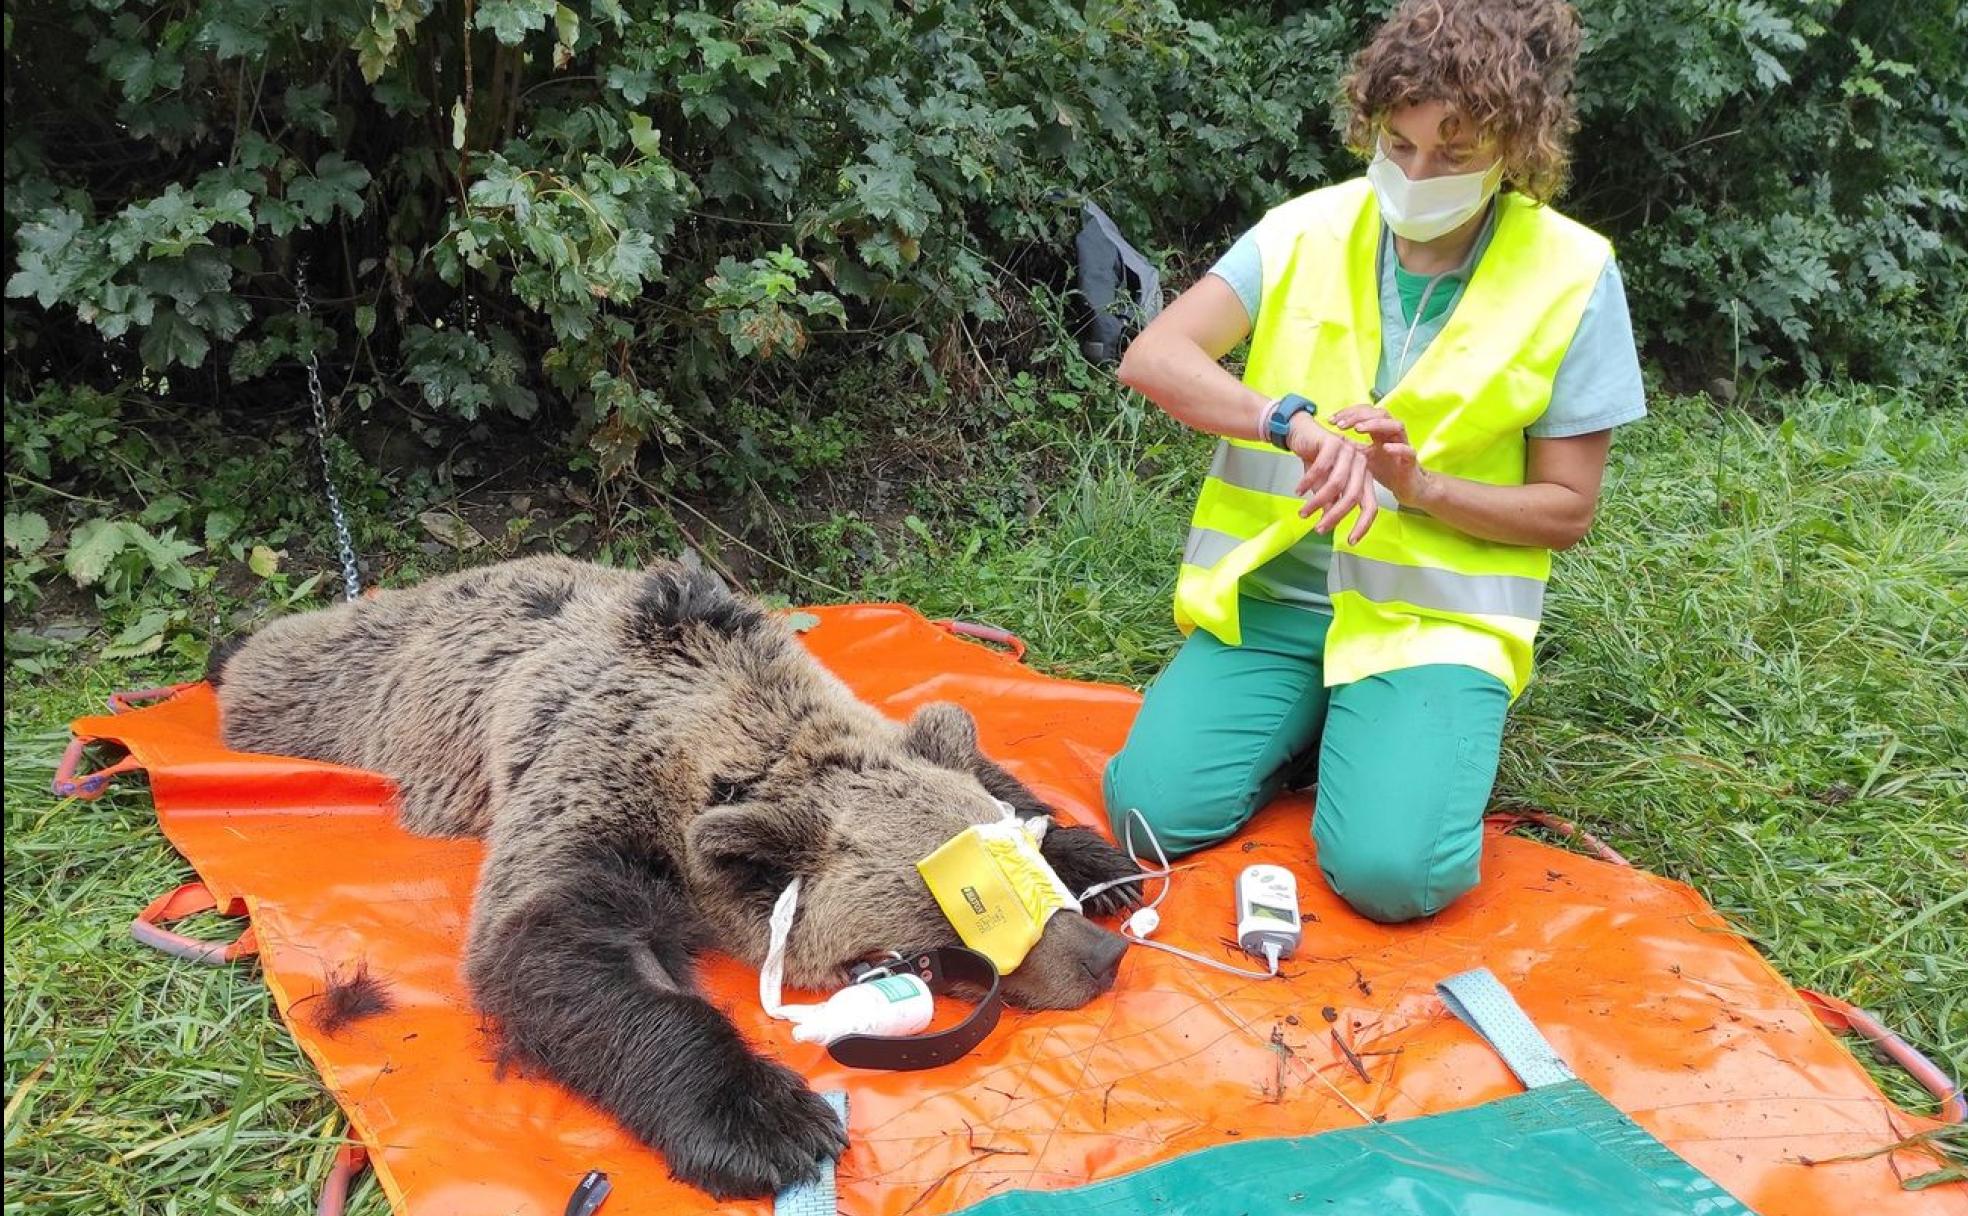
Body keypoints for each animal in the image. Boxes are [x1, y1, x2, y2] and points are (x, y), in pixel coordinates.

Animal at [203, 554, 1141, 1196]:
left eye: (1024, 871)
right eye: (965, 921)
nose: (1101, 960)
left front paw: (1106, 867)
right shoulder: (594, 790)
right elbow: (558, 945)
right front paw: (770, 1121)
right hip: (350, 696)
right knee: (294, 662)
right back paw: (228, 646)